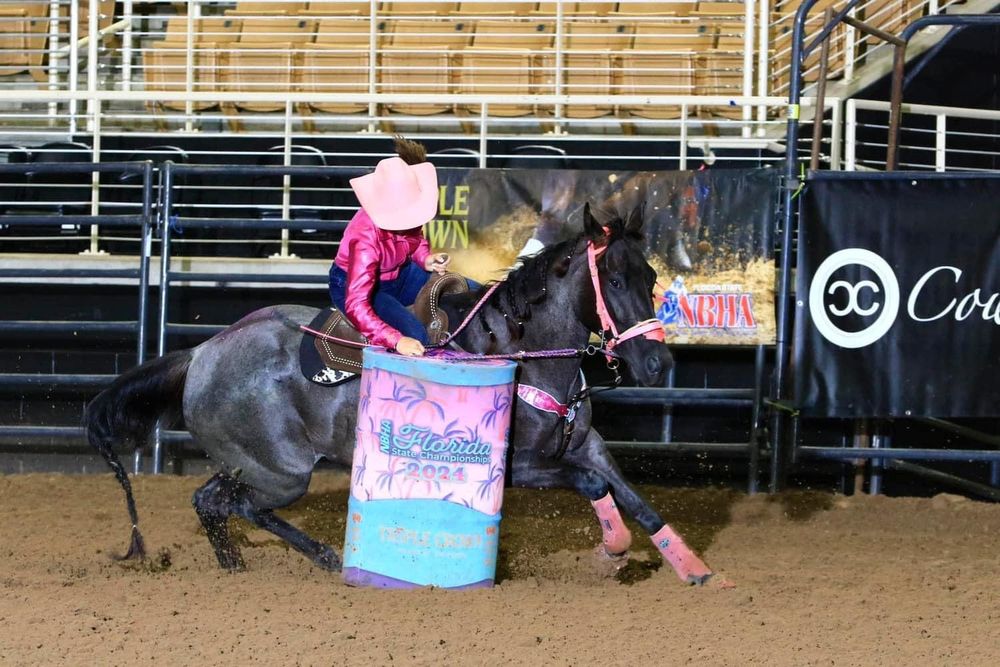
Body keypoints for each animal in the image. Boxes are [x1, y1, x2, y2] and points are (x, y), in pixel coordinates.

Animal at [84, 204, 712, 584]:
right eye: (614, 280)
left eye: (652, 278)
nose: (657, 363)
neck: (523, 351)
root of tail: (201, 355)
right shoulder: (520, 468)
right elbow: (591, 487)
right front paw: (611, 550)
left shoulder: (586, 445)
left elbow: (637, 500)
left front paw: (697, 569)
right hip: (279, 472)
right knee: (235, 504)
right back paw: (324, 557)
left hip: (251, 465)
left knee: (210, 501)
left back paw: (238, 566)